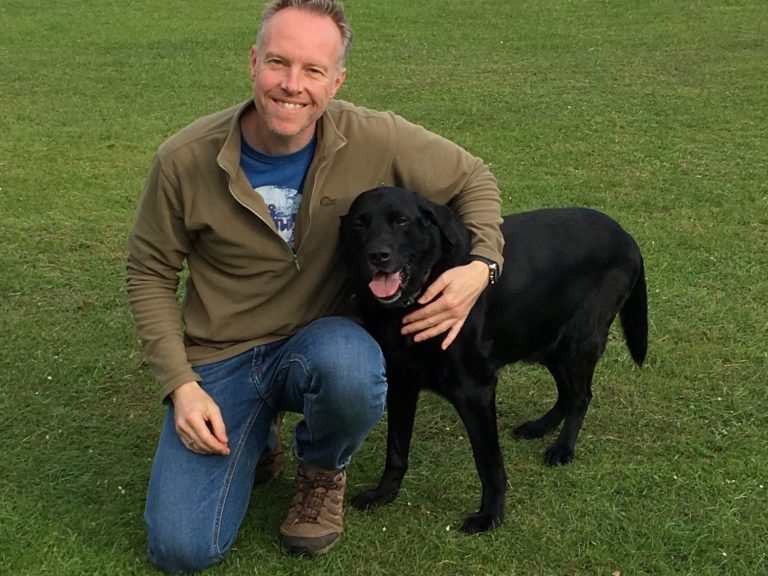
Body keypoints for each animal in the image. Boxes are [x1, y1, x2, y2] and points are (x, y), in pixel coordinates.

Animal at [339, 186, 647, 533]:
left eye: (401, 220)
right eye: (360, 223)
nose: (378, 256)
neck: (422, 290)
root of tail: (627, 236)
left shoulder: (475, 389)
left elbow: (488, 462)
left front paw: (491, 515)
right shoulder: (401, 383)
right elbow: (396, 449)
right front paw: (384, 493)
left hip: (575, 344)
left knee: (581, 396)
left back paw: (562, 448)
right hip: (545, 340)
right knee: (568, 393)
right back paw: (540, 427)